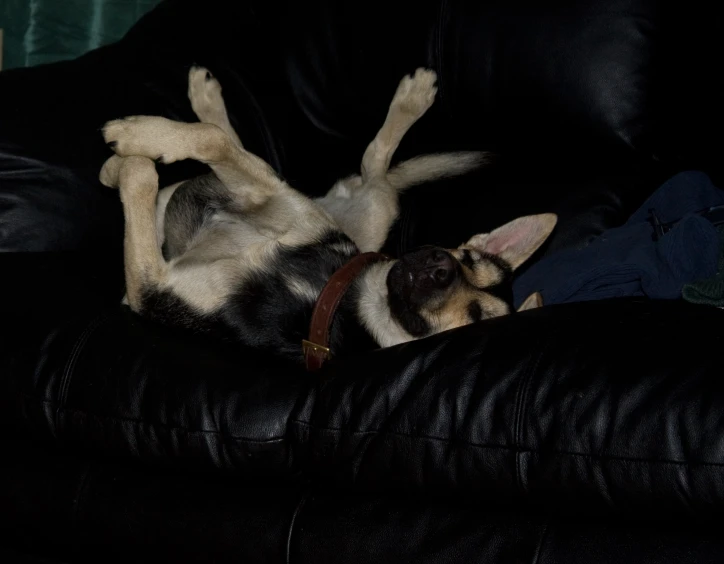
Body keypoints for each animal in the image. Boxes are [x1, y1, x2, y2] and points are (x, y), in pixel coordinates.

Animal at [99, 67, 556, 366]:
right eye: (467, 259)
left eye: (475, 319)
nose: (440, 265)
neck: (326, 292)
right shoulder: (274, 198)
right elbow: (214, 142)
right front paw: (138, 140)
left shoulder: (149, 289)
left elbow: (144, 178)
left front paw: (130, 153)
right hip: (348, 207)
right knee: (365, 165)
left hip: (371, 211)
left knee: (374, 173)